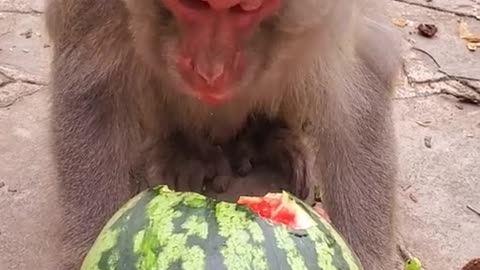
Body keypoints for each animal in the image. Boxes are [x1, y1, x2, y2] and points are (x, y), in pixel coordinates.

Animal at [45, 0, 402, 270]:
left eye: (246, 9)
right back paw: (185, 151)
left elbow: (359, 87)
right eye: (192, 6)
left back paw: (269, 138)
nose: (210, 71)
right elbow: (93, 87)